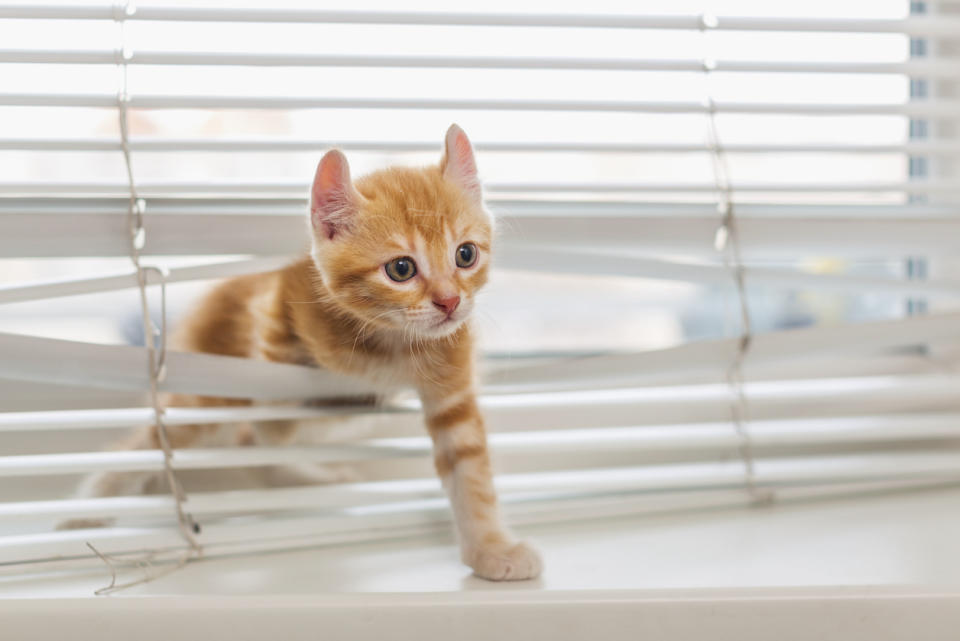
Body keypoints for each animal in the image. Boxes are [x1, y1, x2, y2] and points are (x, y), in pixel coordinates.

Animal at [63, 124, 544, 580]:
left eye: (465, 255)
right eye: (401, 268)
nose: (449, 302)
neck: (390, 340)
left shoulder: (452, 381)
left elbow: (469, 468)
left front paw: (490, 549)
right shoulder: (277, 311)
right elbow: (271, 425)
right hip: (215, 392)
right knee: (176, 438)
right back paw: (88, 508)